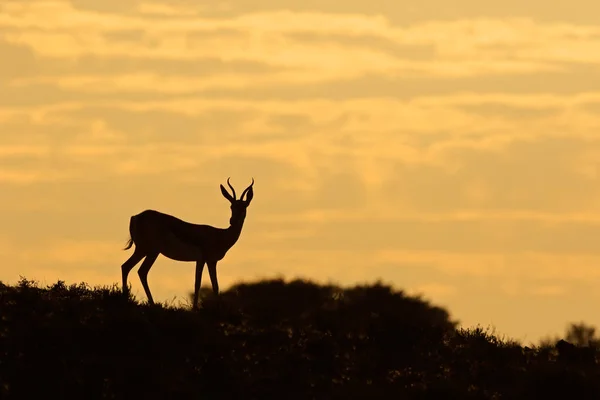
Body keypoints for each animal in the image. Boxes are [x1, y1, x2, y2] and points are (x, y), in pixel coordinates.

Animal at [120, 178, 254, 310]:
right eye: (232, 206)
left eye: (244, 207)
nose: (232, 221)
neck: (220, 235)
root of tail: (136, 217)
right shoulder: (204, 259)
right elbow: (198, 283)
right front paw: (195, 308)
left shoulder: (210, 261)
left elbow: (215, 285)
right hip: (150, 251)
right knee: (141, 271)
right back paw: (151, 303)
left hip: (143, 250)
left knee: (127, 267)